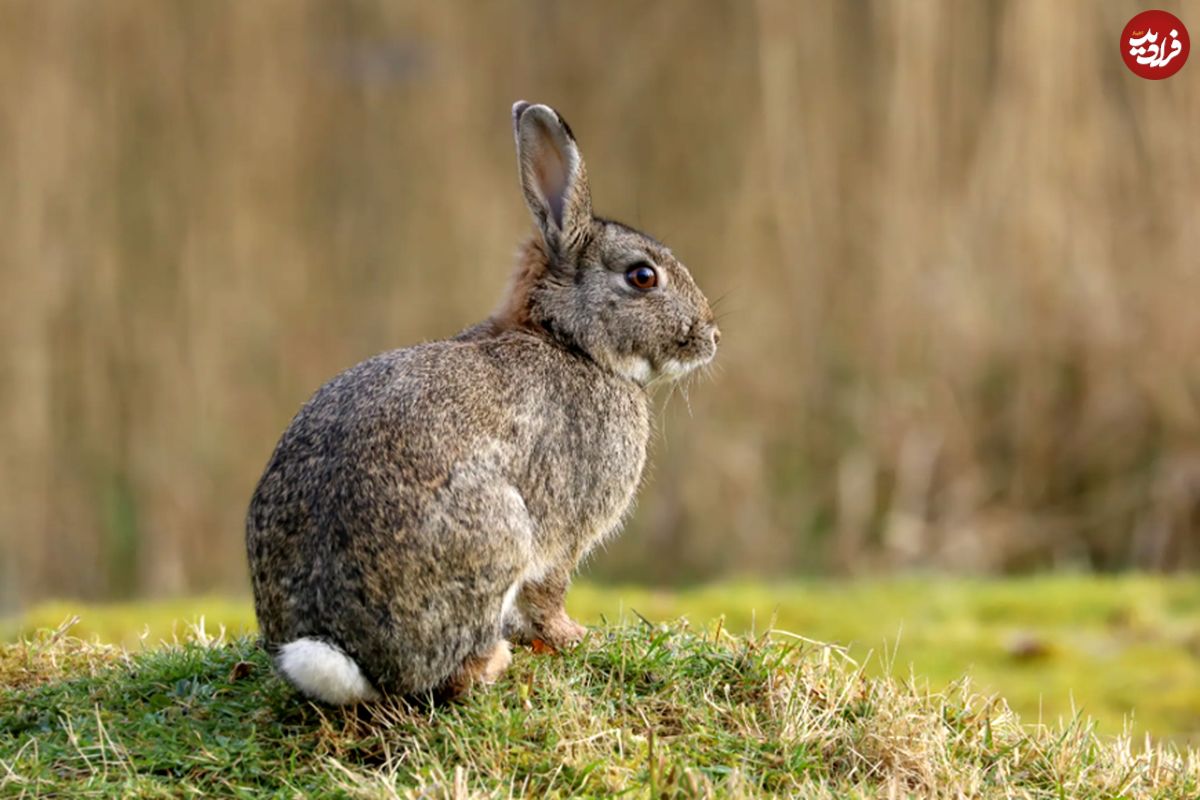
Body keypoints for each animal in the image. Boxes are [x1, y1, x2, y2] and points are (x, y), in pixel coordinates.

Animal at [242, 97, 710, 705]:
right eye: (643, 276)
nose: (710, 336)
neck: (569, 341)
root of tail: (346, 653)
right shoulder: (565, 532)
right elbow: (550, 594)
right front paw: (573, 637)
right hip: (499, 533)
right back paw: (493, 663)